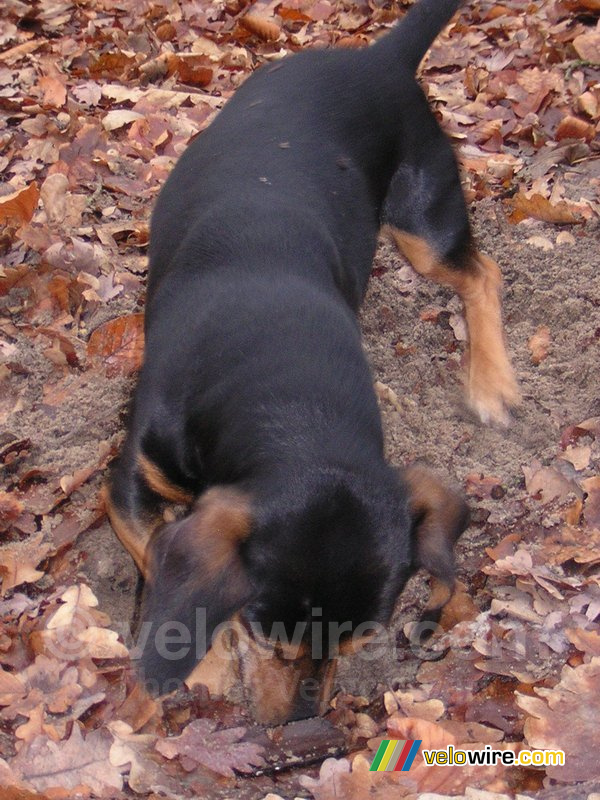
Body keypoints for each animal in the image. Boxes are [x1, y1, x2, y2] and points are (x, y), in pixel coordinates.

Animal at [105, 0, 516, 720]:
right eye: (265, 632)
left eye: (358, 643)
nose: (303, 722)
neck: (291, 399)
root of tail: (377, 57)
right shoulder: (128, 481)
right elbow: (158, 556)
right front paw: (199, 656)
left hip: (421, 218)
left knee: (482, 272)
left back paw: (490, 380)